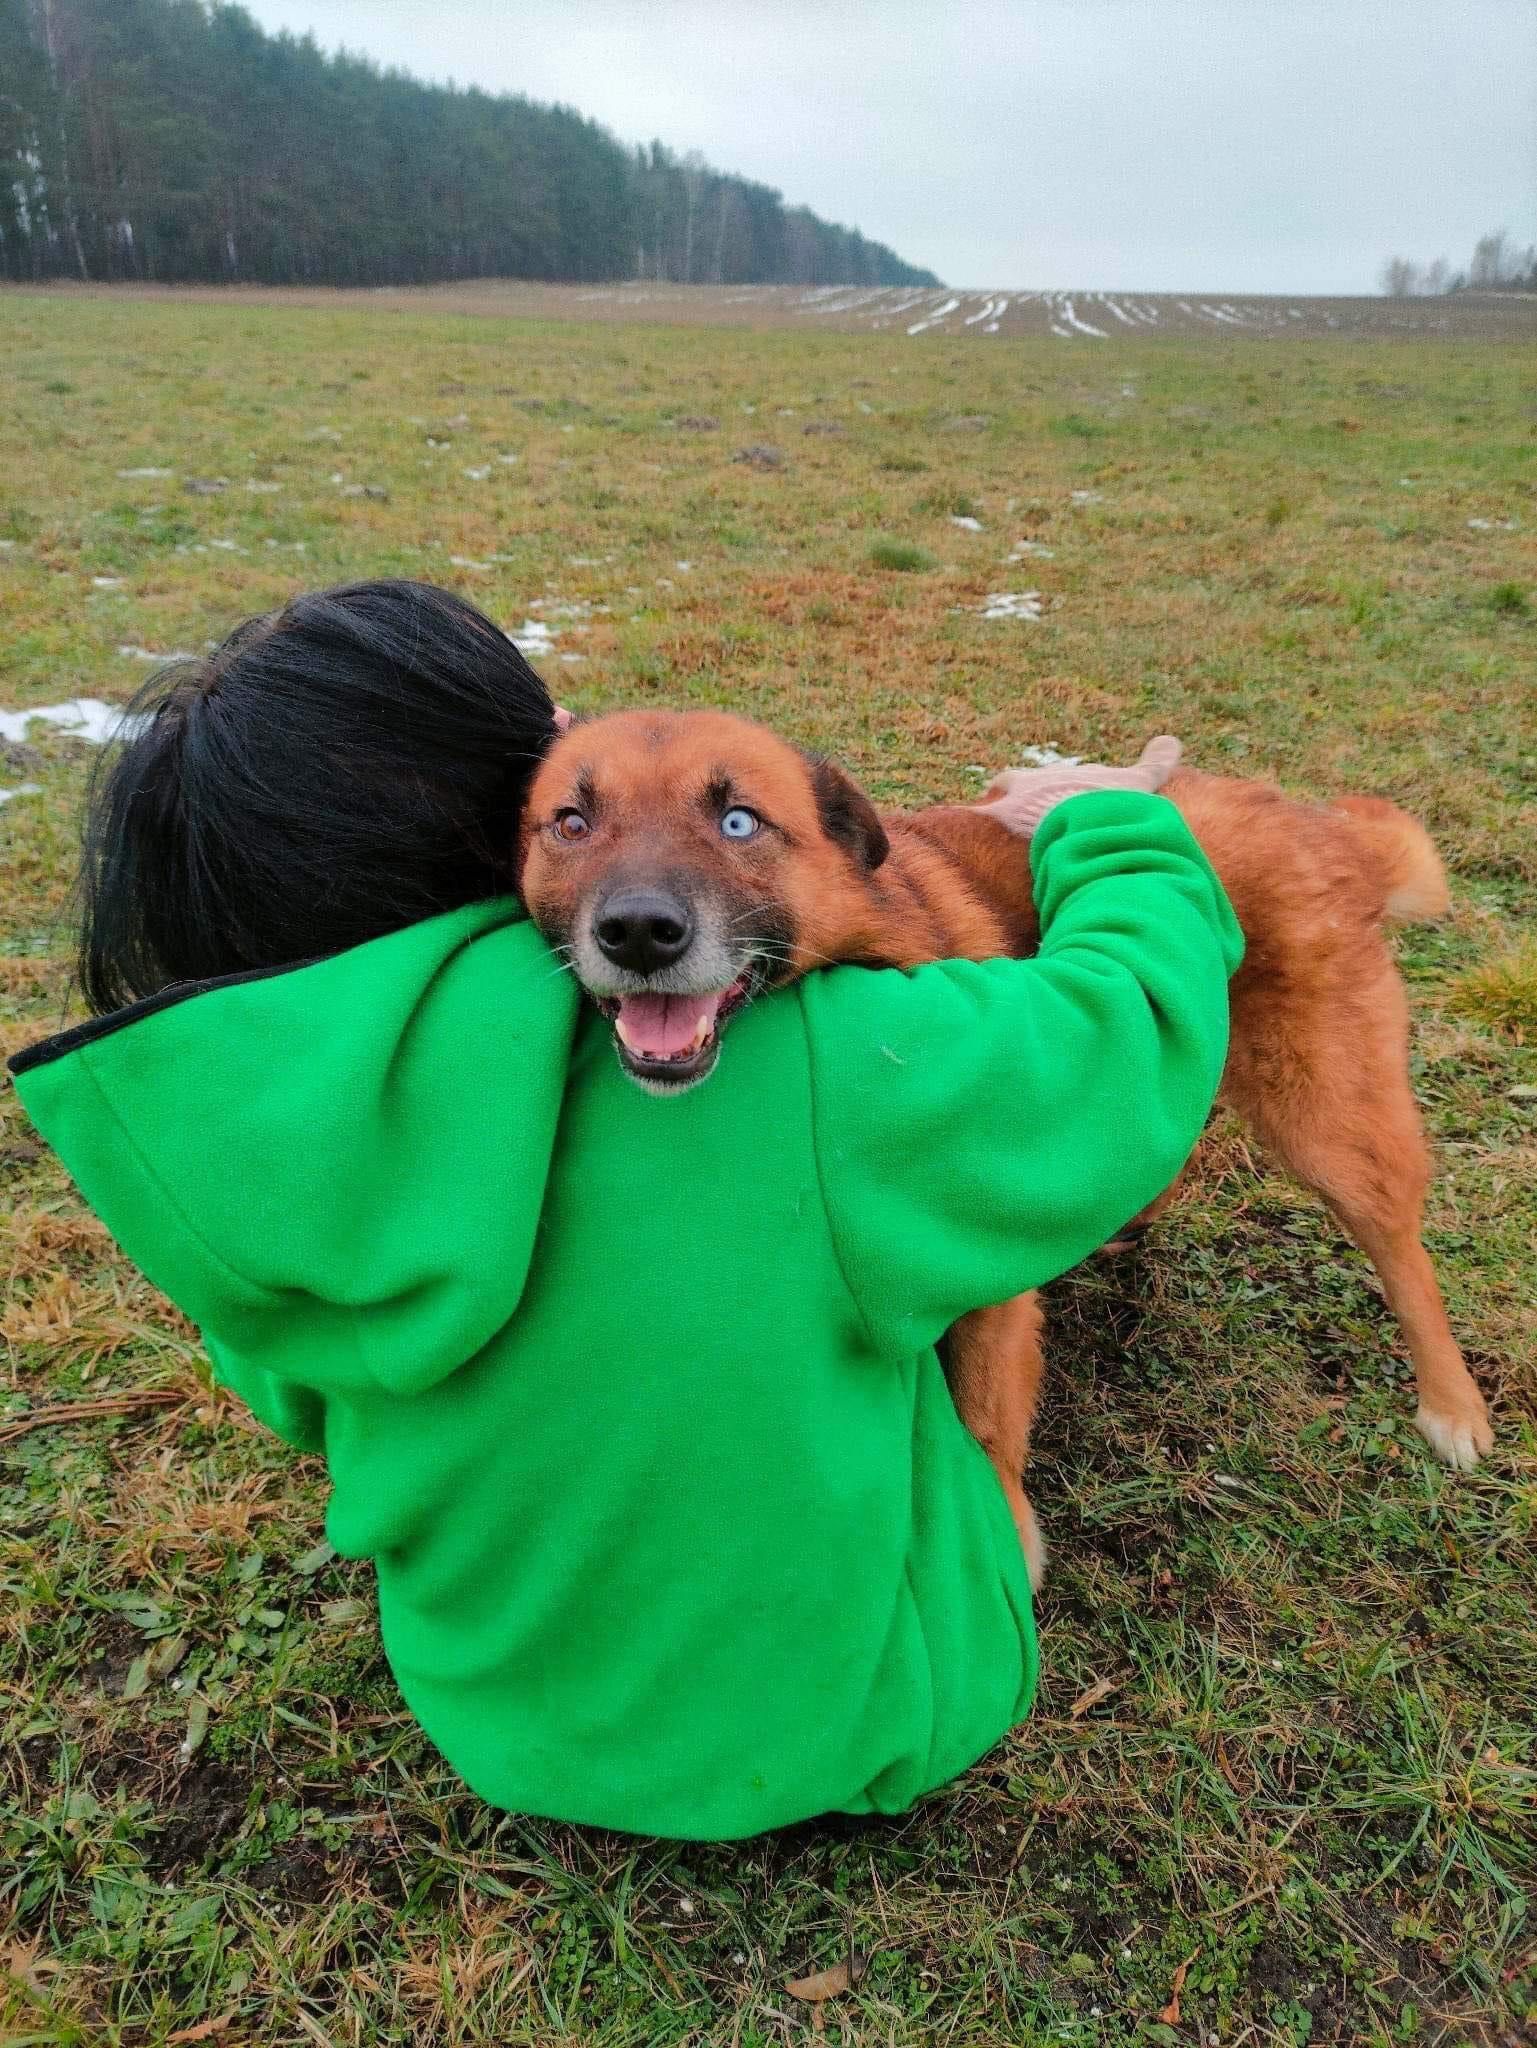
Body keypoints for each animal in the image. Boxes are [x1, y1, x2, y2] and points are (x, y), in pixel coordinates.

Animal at [518, 712, 1491, 1572]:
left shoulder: (987, 1289)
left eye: (737, 821)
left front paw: (1005, 1544)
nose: (637, 934)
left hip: (1324, 1120)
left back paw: (1453, 1406)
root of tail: (1313, 822)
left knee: (1400, 1250)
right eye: (572, 823)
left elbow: (984, 1418)